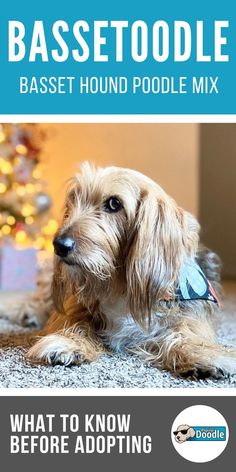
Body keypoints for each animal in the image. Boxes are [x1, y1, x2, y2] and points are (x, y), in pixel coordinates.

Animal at [2, 164, 236, 378]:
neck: (119, 283)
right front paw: (66, 341)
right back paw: (26, 313)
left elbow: (187, 330)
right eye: (73, 200)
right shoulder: (76, 302)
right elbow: (74, 321)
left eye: (114, 203)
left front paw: (203, 354)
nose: (59, 245)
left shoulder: (191, 310)